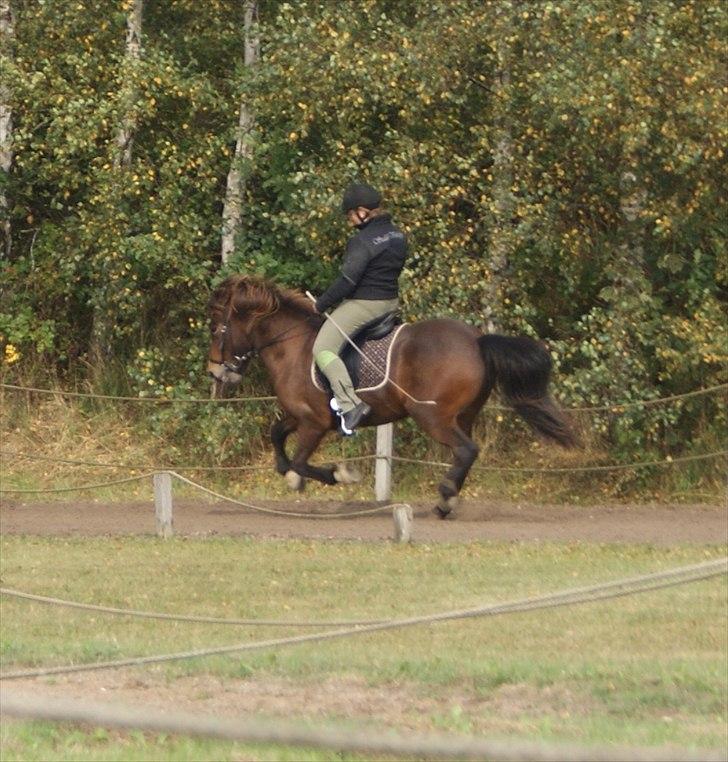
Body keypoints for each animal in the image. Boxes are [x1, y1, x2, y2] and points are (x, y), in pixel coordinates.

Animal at [205, 274, 576, 516]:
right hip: (463, 416)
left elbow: (298, 463)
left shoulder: (314, 422)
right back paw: (450, 496)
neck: (290, 344)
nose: (214, 371)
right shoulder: (299, 415)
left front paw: (338, 475)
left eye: (216, 326)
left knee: (467, 450)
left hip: (432, 416)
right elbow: (277, 437)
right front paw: (310, 475)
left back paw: (445, 499)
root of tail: (476, 340)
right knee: (464, 453)